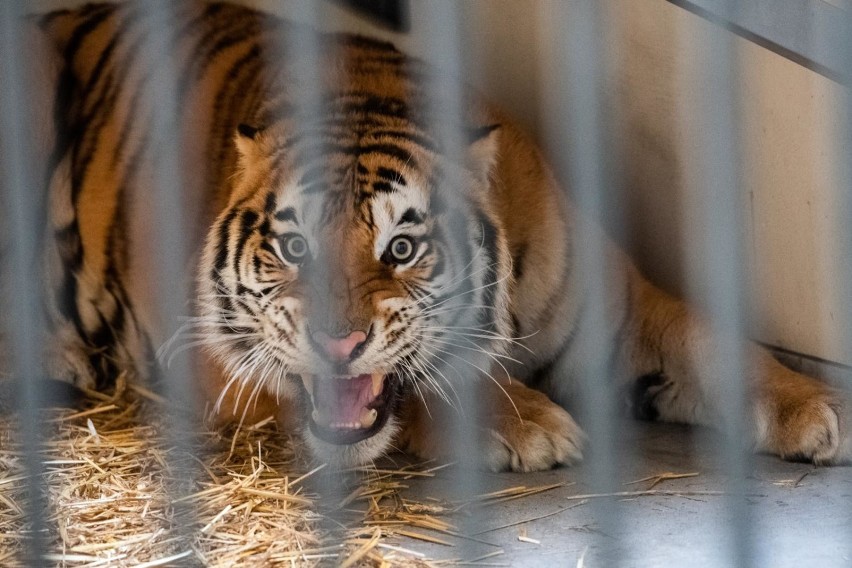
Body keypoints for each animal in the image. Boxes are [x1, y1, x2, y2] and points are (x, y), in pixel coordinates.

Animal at [10, 2, 848, 472]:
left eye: (402, 249)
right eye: (294, 248)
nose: (336, 341)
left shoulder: (620, 311)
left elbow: (716, 341)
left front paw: (817, 409)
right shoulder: (218, 357)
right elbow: (432, 386)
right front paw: (528, 424)